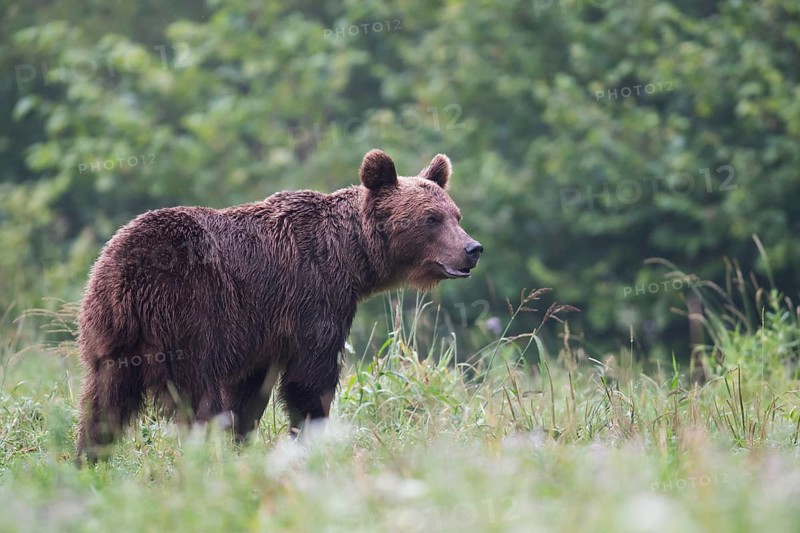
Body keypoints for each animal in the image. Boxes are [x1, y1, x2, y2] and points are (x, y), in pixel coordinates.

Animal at [75, 149, 483, 462]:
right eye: (431, 218)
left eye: (456, 214)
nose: (472, 249)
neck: (351, 259)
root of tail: (127, 273)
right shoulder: (312, 298)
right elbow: (310, 378)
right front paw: (308, 437)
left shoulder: (260, 334)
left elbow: (248, 394)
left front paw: (242, 443)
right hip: (186, 314)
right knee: (197, 398)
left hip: (107, 332)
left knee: (102, 403)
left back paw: (88, 459)